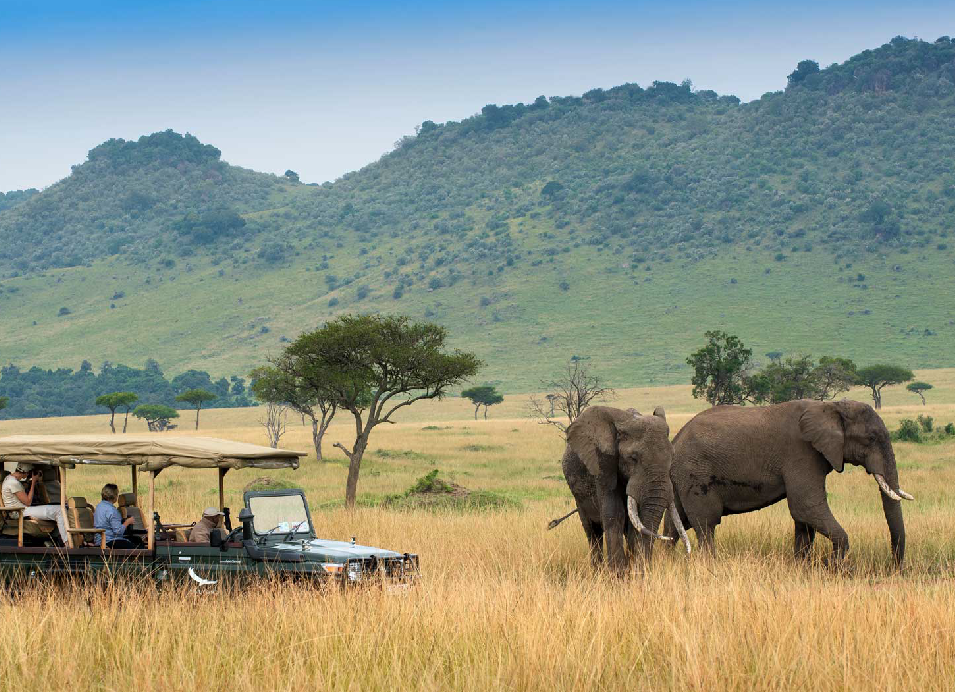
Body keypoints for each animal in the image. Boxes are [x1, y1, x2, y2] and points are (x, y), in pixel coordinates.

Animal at [550, 405, 690, 573]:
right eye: (633, 458)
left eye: (672, 457)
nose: (643, 570)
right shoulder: (603, 464)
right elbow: (614, 513)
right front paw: (619, 575)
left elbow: (635, 521)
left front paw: (634, 572)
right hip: (578, 496)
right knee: (592, 532)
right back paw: (597, 571)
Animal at [664, 399, 913, 565]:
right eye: (870, 438)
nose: (894, 568)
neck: (831, 406)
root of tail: (676, 439)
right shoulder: (801, 453)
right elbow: (806, 506)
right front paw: (835, 567)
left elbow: (804, 518)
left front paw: (802, 566)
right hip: (695, 472)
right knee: (706, 523)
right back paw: (710, 565)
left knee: (676, 524)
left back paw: (664, 561)